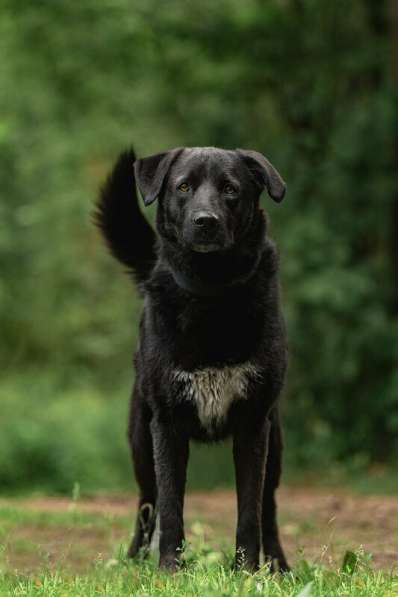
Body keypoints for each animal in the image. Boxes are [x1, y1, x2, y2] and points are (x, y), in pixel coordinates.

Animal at [96, 147, 290, 572]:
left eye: (231, 189)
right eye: (183, 186)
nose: (206, 222)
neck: (211, 292)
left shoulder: (254, 424)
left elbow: (249, 511)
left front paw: (246, 571)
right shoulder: (167, 425)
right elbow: (171, 507)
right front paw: (170, 568)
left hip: (276, 443)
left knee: (268, 507)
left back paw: (278, 566)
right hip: (141, 442)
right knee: (147, 504)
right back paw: (134, 560)